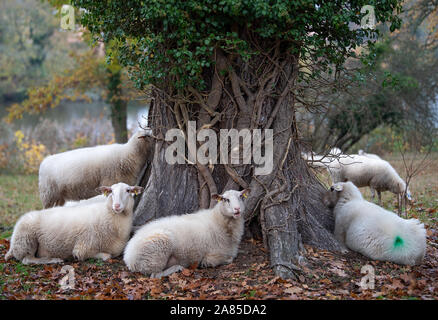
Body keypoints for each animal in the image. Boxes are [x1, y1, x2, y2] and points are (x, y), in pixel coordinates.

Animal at [4, 182, 144, 264]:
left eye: (128, 190)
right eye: (111, 192)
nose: (117, 206)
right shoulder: (82, 248)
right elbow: (106, 256)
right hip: (26, 240)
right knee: (27, 260)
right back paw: (54, 260)